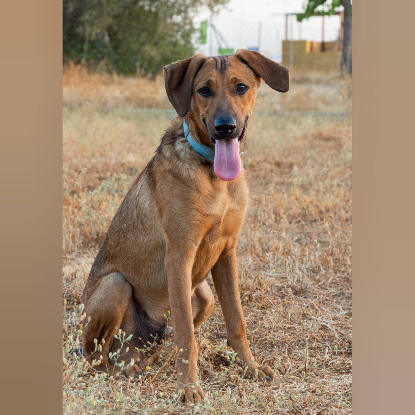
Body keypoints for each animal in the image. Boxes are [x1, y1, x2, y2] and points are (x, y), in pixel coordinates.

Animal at [81, 49, 289, 403]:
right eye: (204, 90)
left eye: (241, 87)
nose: (225, 128)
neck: (214, 177)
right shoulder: (179, 256)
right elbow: (186, 335)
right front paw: (189, 388)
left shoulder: (227, 252)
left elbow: (236, 321)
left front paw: (249, 368)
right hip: (115, 285)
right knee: (97, 359)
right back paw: (120, 373)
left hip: (203, 295)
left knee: (150, 350)